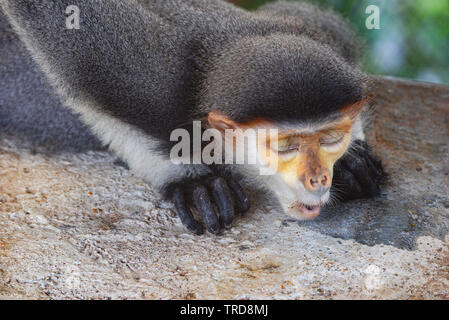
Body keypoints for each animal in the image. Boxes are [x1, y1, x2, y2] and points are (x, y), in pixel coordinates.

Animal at [0, 0, 384, 235]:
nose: (318, 178)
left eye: (330, 138)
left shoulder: (320, 36)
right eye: (286, 146)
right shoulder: (143, 84)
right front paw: (193, 180)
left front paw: (349, 160)